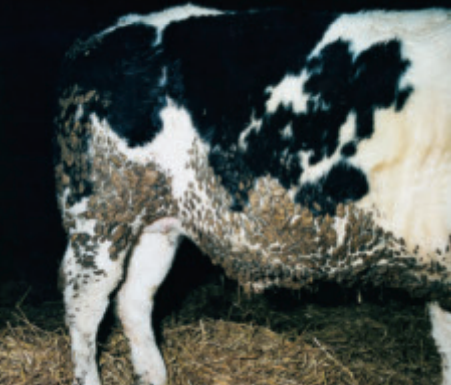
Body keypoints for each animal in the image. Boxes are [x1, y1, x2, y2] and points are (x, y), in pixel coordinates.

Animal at [54, 3, 451, 384]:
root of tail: (107, 32)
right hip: (100, 212)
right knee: (84, 305)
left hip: (155, 220)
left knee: (134, 297)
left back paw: (154, 376)